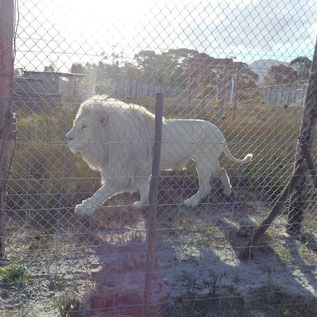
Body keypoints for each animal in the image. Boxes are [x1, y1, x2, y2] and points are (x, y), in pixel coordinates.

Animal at [66, 95, 252, 216]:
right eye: (75, 123)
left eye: (84, 126)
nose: (67, 138)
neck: (108, 139)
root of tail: (220, 132)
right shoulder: (141, 168)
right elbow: (144, 188)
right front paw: (142, 204)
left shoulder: (121, 171)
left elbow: (102, 192)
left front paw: (84, 208)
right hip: (209, 160)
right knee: (222, 171)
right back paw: (227, 191)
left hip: (204, 162)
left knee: (206, 187)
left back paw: (191, 202)